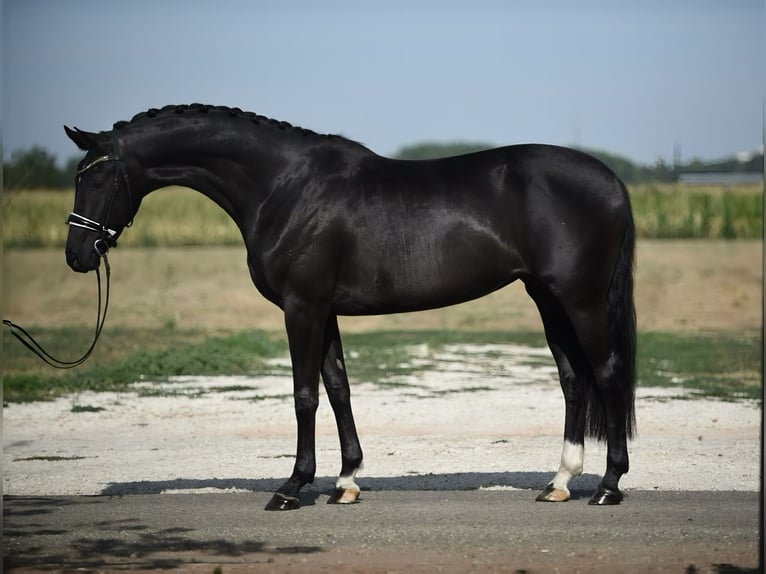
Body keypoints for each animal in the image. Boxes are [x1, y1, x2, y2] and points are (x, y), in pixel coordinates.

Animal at [64, 104, 636, 512]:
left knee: (607, 373)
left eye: (96, 178)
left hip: (579, 300)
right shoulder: (325, 310)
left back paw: (608, 486)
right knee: (573, 378)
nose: (76, 255)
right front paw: (345, 482)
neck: (285, 187)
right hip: (546, 298)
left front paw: (291, 488)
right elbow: (338, 387)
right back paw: (559, 481)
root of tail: (610, 179)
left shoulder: (301, 308)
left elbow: (305, 395)